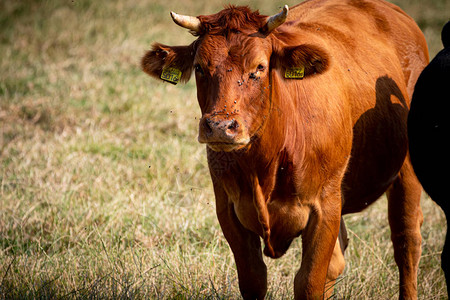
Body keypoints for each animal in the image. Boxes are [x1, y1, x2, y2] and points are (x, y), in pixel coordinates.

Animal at [142, 0, 428, 298]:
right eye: (199, 67)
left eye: (259, 67)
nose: (220, 127)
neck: (264, 165)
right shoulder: (228, 207)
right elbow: (254, 280)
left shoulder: (325, 207)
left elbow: (309, 282)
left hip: (407, 170)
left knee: (406, 240)